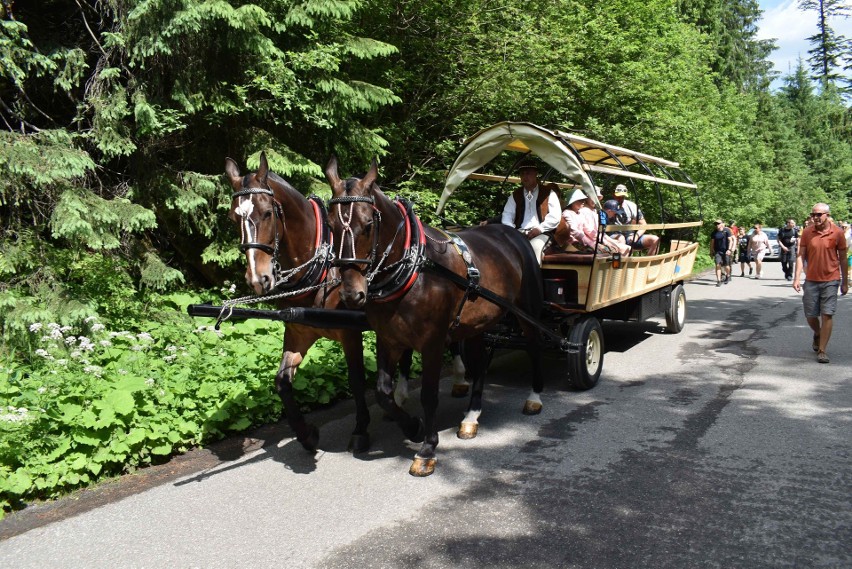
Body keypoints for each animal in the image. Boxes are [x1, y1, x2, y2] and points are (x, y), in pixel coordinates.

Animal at [322, 155, 544, 474]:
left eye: (368, 225)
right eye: (329, 225)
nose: (352, 294)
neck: (416, 266)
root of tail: (513, 233)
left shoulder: (433, 342)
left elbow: (428, 394)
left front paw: (427, 448)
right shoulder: (388, 339)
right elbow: (382, 392)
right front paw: (412, 427)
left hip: (527, 311)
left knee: (535, 346)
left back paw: (534, 398)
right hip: (476, 325)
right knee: (480, 365)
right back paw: (471, 417)